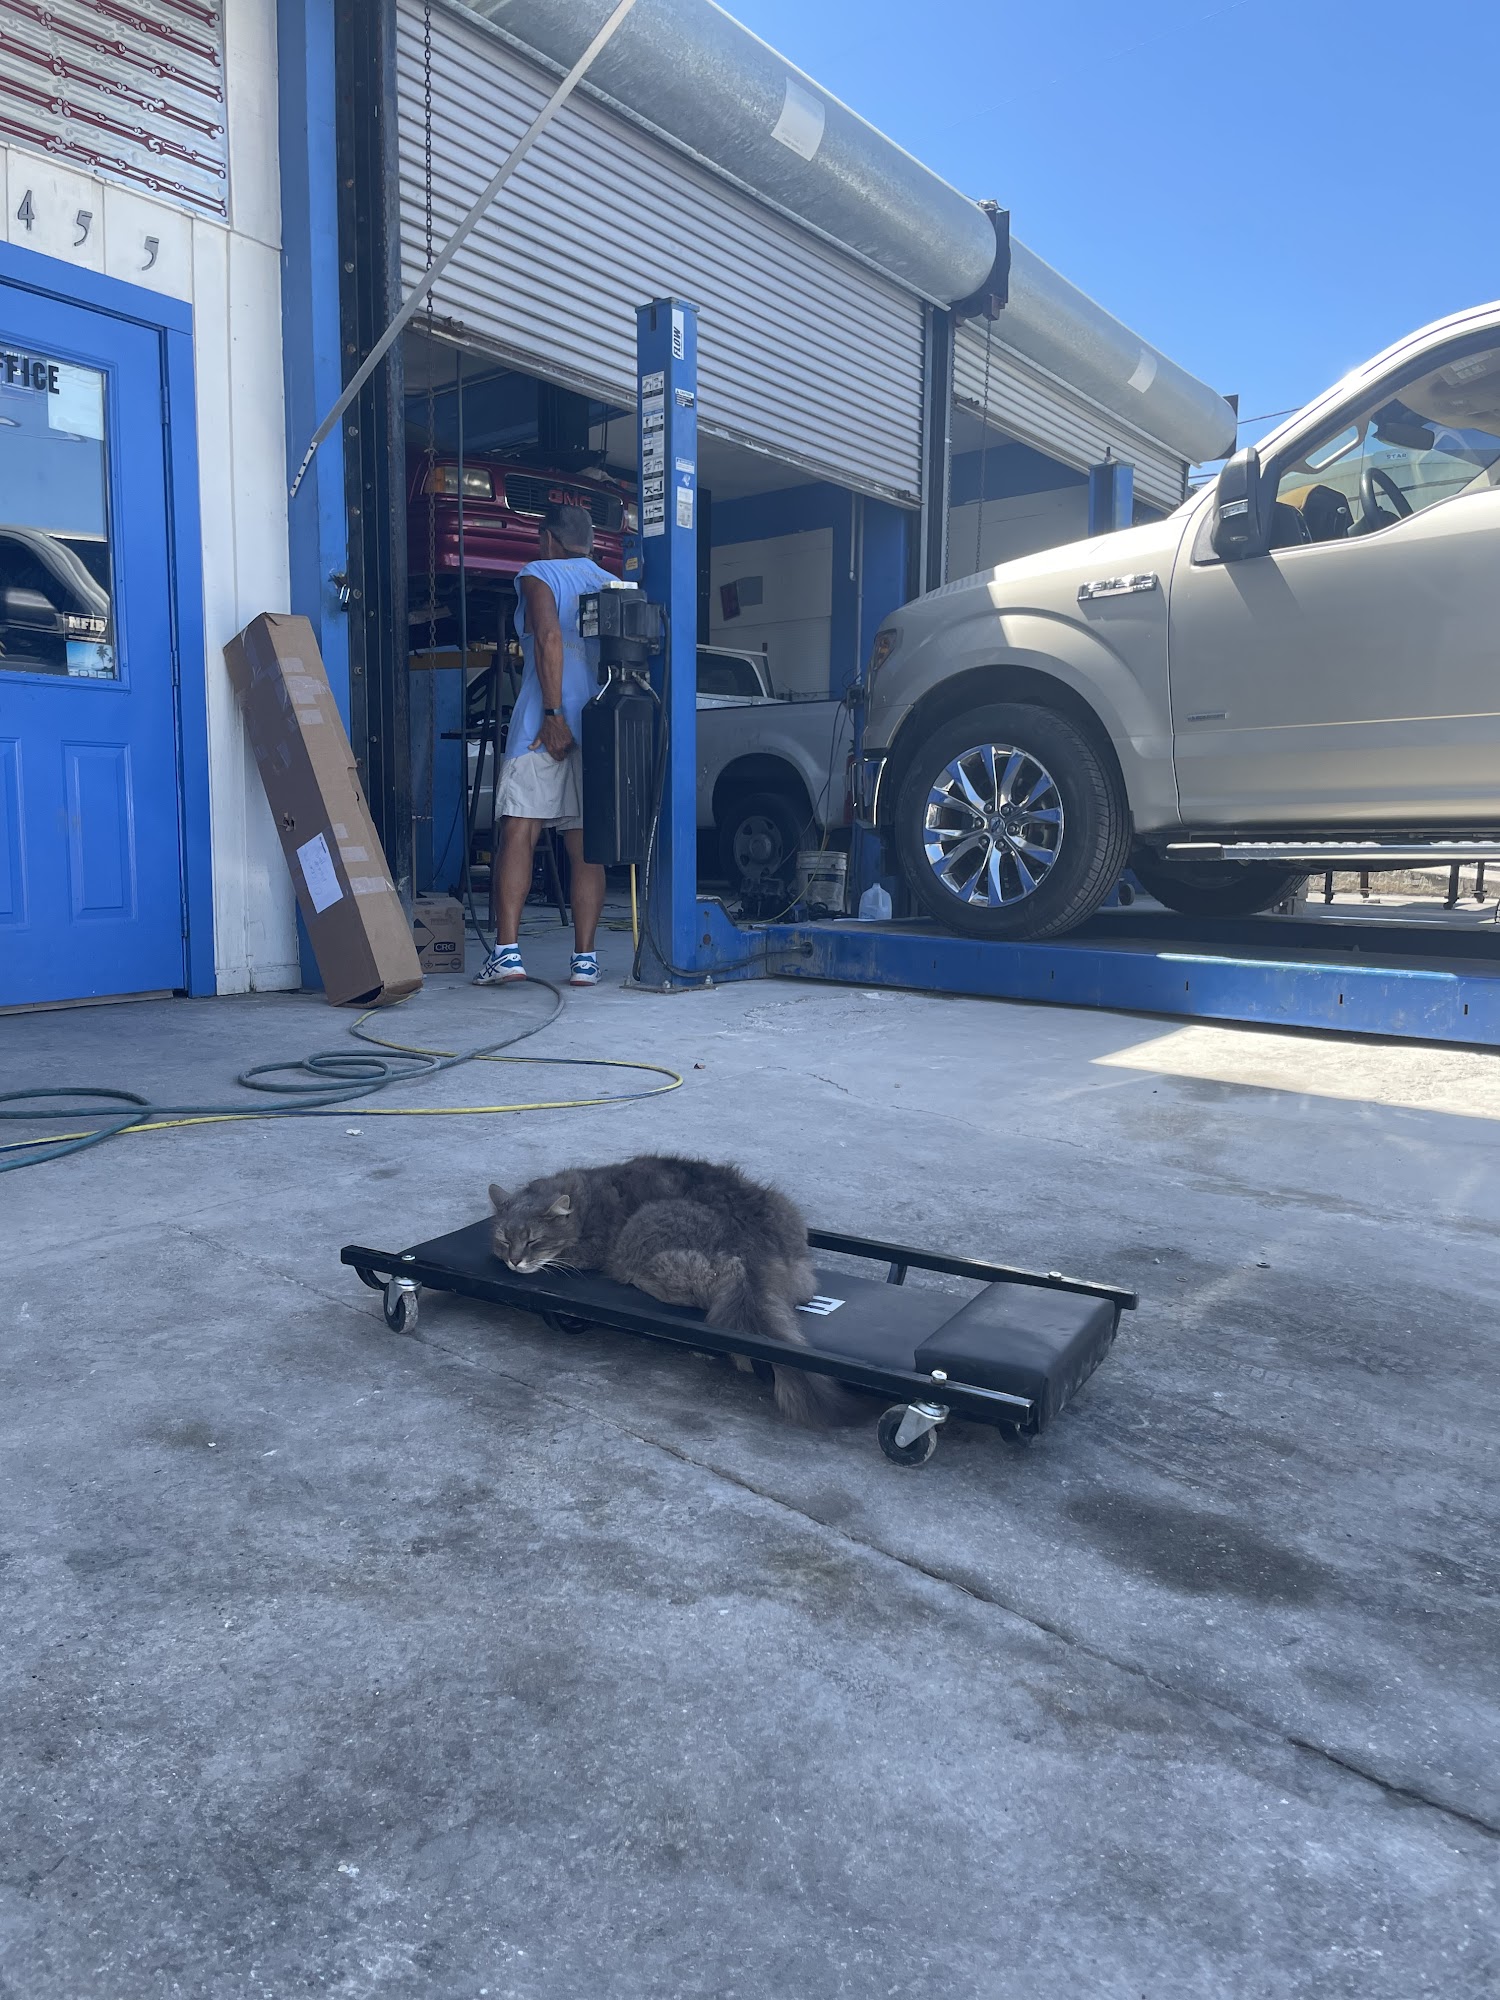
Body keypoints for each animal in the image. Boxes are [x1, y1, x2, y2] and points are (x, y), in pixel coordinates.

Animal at [488, 1154, 860, 1428]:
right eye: (504, 1238)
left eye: (533, 1241)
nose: (514, 1260)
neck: (582, 1197)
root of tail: (750, 1248)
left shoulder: (590, 1248)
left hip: (645, 1233)